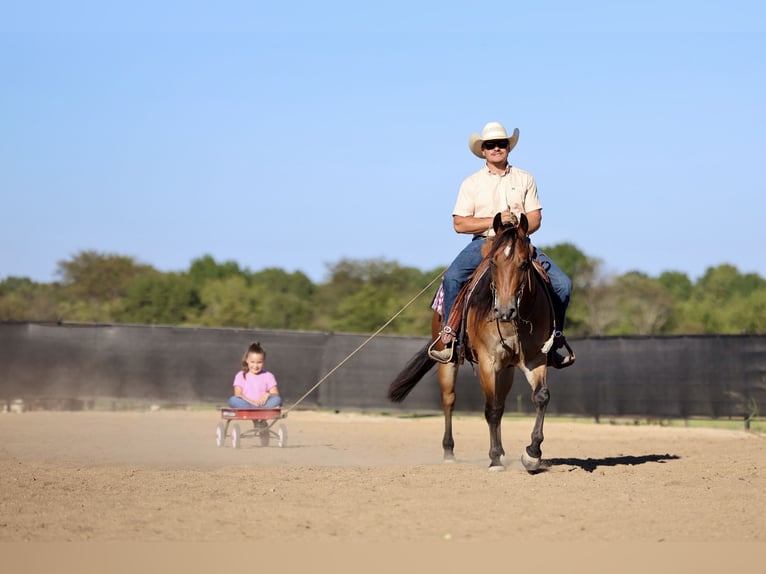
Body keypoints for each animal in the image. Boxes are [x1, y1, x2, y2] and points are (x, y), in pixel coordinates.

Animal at [388, 212, 554, 471]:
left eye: (524, 263)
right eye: (494, 263)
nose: (504, 310)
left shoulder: (535, 359)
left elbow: (540, 397)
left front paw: (532, 454)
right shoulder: (487, 361)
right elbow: (490, 410)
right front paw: (494, 458)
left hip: (506, 370)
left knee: (501, 402)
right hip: (447, 362)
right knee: (449, 400)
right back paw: (449, 451)